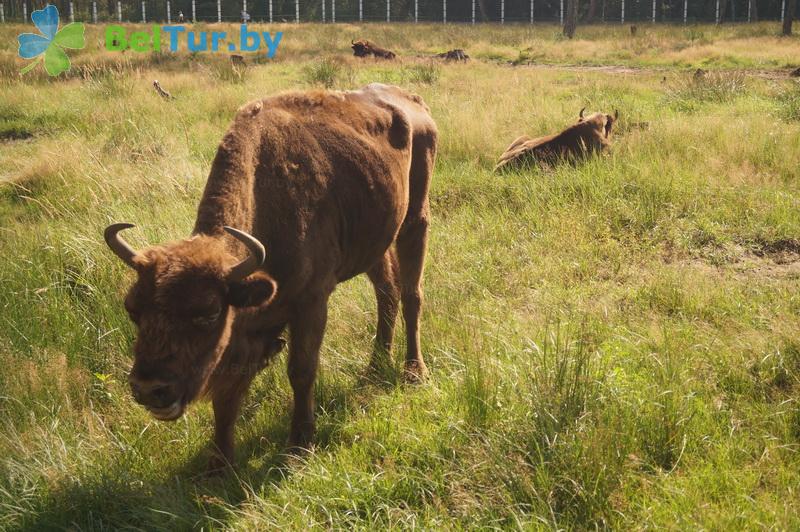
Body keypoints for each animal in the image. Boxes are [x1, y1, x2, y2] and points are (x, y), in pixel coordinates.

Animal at [104, 82, 438, 470]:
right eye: (132, 309)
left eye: (209, 312)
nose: (150, 389)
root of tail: (414, 102)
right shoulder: (246, 331)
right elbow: (228, 389)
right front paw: (219, 461)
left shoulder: (311, 303)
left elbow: (301, 371)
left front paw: (299, 445)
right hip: (376, 238)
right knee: (387, 292)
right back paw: (373, 368)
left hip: (416, 220)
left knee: (412, 295)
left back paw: (414, 372)